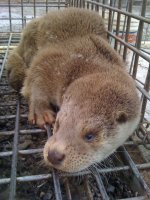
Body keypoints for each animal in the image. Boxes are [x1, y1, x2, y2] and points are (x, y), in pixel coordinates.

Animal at [6, 7, 141, 173]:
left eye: (90, 136)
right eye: (58, 124)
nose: (54, 154)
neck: (86, 63)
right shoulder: (53, 60)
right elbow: (35, 78)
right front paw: (41, 112)